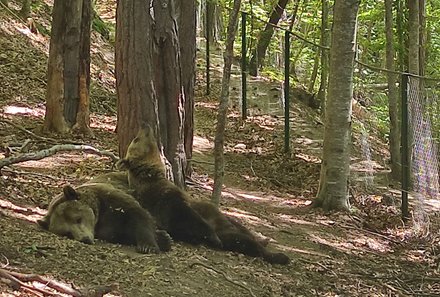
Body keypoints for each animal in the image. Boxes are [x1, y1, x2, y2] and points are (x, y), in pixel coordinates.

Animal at [38, 172, 172, 253]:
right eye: (68, 233)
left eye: (78, 219)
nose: (85, 239)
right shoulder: (106, 228)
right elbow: (118, 233)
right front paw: (163, 238)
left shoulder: (112, 198)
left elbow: (139, 215)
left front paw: (149, 245)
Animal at [117, 123, 290, 264]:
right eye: (136, 139)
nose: (144, 125)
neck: (152, 177)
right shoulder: (165, 200)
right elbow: (188, 218)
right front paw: (213, 237)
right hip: (227, 233)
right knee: (243, 240)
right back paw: (279, 256)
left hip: (223, 218)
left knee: (240, 226)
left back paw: (264, 240)